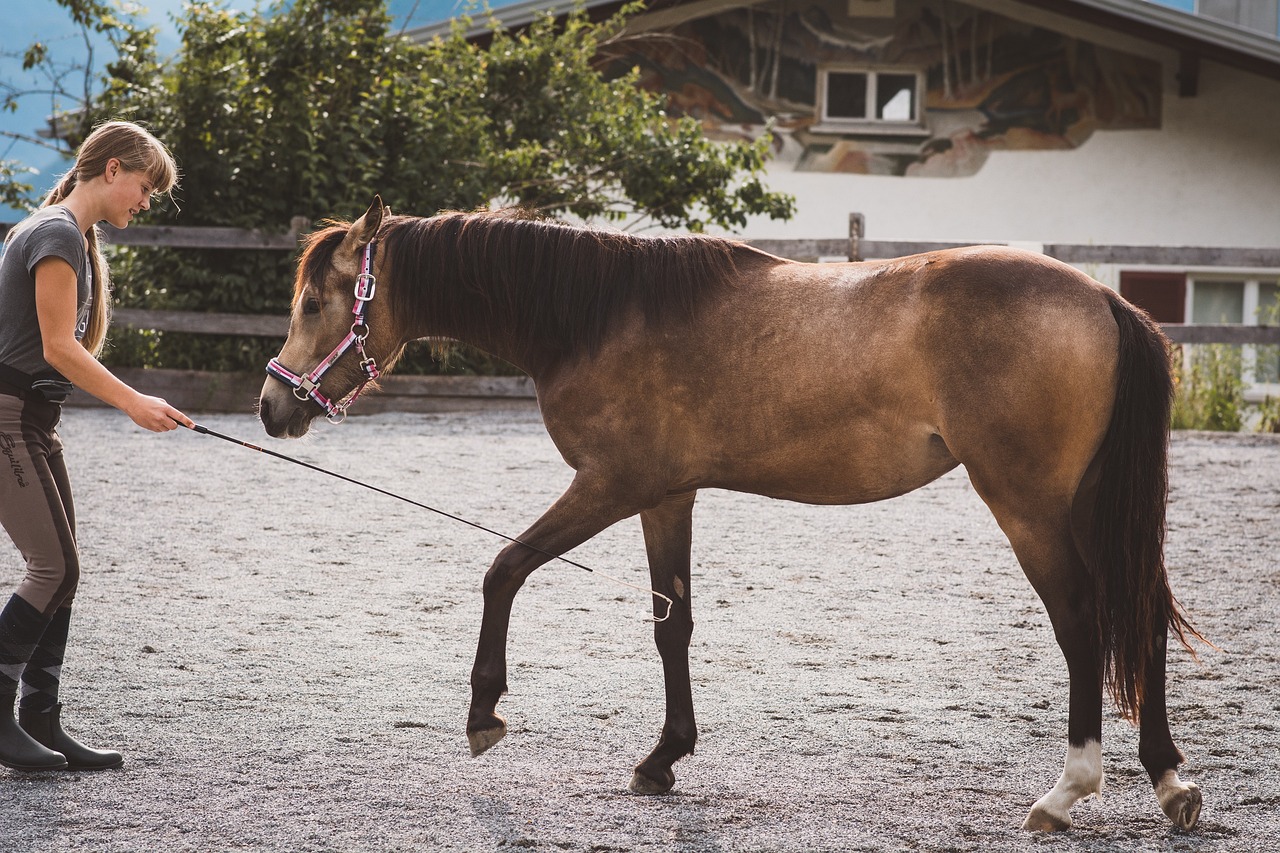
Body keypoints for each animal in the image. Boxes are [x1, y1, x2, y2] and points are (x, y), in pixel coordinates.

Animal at [257, 195, 1198, 824]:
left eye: (313, 303)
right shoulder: (666, 495)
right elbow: (672, 622)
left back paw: (1068, 790)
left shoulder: (610, 484)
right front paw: (663, 756)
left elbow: (504, 568)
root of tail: (1105, 298)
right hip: (1085, 507)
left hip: (1030, 505)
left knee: (1083, 623)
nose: (273, 406)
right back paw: (1170, 780)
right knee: (1140, 616)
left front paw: (485, 712)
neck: (599, 313)